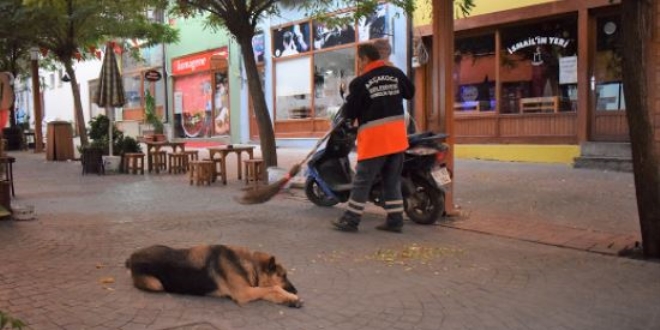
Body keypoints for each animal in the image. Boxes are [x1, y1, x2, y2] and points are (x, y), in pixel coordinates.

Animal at [125, 244, 302, 308]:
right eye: (284, 275)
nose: (296, 290)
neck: (250, 265)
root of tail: (133, 256)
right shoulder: (244, 293)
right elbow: (274, 287)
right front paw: (291, 297)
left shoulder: (250, 289)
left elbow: (270, 291)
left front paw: (290, 300)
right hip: (156, 284)